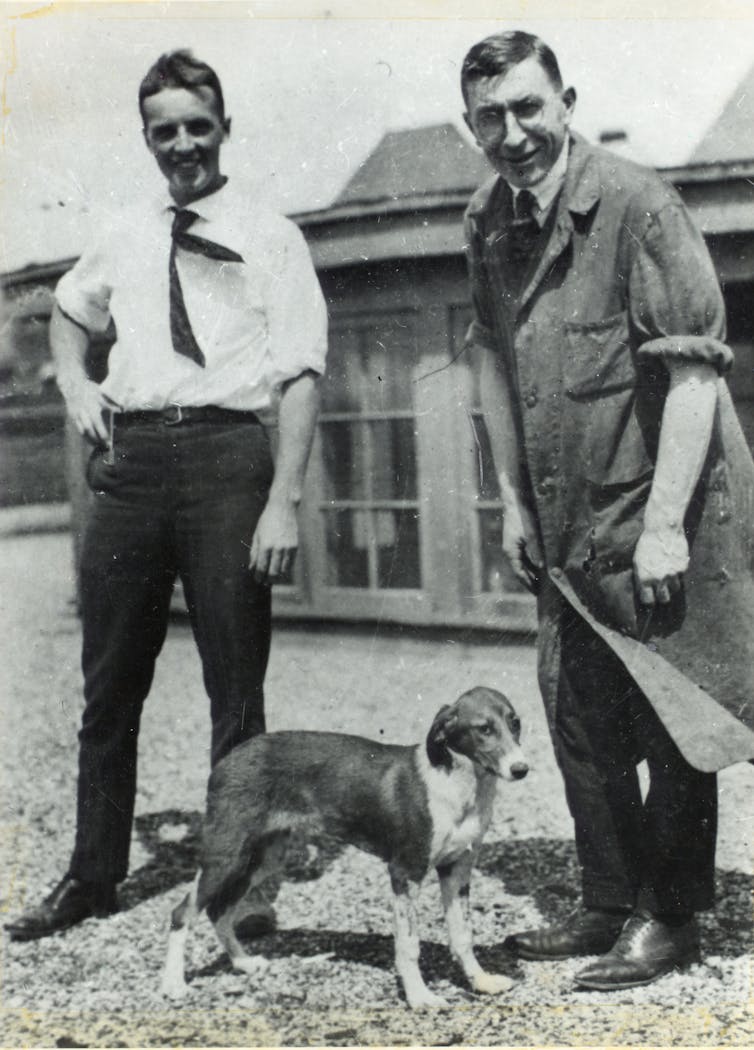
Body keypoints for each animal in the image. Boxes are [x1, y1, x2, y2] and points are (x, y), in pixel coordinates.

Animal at [162, 684, 529, 1003]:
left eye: (515, 722)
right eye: (484, 729)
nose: (521, 769)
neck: (458, 785)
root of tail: (230, 758)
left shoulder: (457, 869)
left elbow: (463, 935)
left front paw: (481, 981)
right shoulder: (405, 872)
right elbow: (409, 945)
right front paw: (419, 997)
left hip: (262, 858)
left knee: (219, 912)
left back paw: (243, 963)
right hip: (226, 855)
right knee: (183, 912)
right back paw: (173, 984)